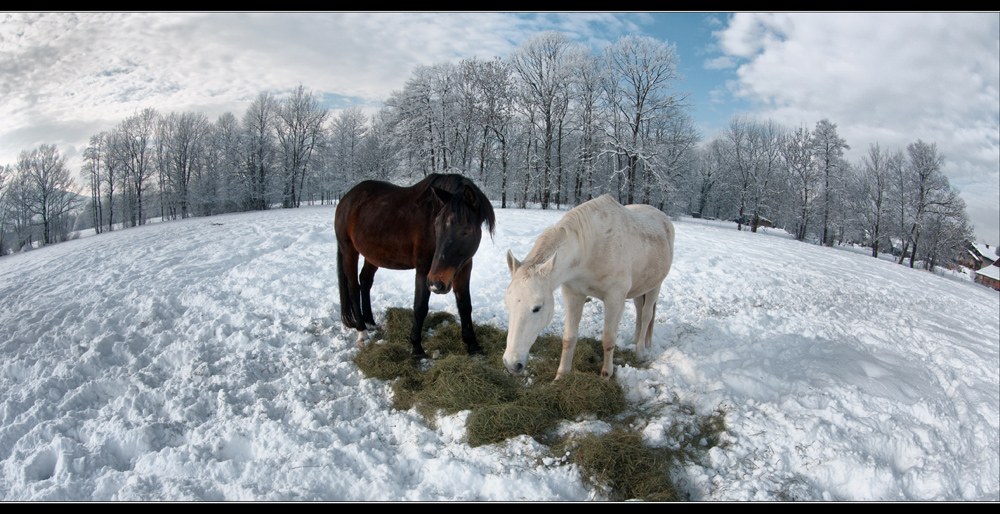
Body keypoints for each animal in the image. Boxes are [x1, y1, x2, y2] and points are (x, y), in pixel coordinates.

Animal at [336, 174, 496, 354]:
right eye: (436, 226)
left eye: (466, 230)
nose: (437, 284)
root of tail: (347, 198)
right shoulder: (424, 270)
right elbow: (420, 307)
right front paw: (416, 347)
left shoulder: (463, 269)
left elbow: (465, 306)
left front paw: (472, 344)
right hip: (349, 251)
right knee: (353, 288)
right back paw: (362, 332)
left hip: (372, 256)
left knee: (365, 281)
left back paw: (370, 321)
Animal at [504, 194, 676, 378]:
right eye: (508, 305)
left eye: (537, 308)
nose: (511, 363)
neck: (593, 248)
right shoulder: (573, 294)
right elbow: (569, 337)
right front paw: (561, 375)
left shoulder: (615, 299)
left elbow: (608, 338)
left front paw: (606, 375)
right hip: (639, 289)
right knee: (638, 310)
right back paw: (634, 340)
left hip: (655, 287)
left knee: (646, 315)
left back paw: (639, 351)